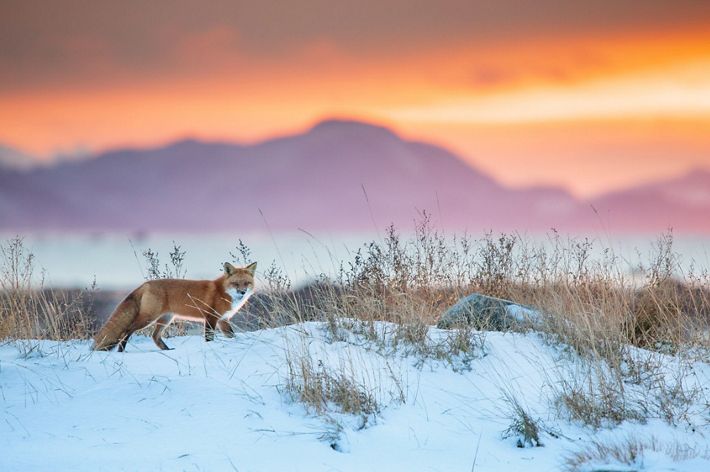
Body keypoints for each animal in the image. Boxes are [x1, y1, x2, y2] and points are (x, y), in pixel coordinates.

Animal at [92, 262, 256, 351]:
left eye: (246, 283)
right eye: (235, 284)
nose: (242, 292)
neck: (222, 291)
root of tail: (145, 284)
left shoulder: (223, 320)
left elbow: (232, 336)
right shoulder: (211, 318)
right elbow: (209, 338)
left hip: (165, 319)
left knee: (155, 336)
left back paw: (167, 350)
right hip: (148, 318)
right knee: (126, 331)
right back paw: (121, 351)